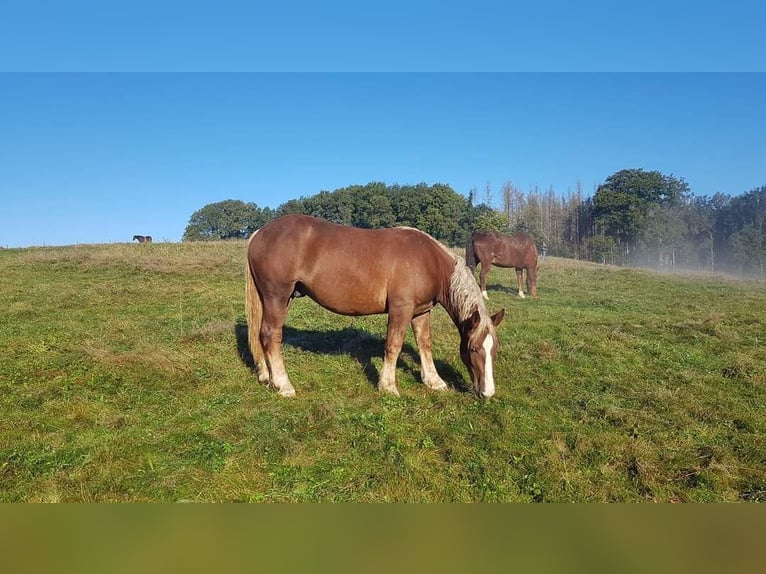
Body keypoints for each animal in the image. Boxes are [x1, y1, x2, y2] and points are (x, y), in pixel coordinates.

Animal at [246, 216, 508, 400]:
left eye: (494, 350)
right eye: (473, 349)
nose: (487, 393)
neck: (429, 261)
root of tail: (260, 233)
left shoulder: (421, 311)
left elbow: (425, 343)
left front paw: (434, 381)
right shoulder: (401, 309)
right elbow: (394, 345)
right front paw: (388, 386)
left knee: (260, 334)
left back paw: (266, 376)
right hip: (277, 296)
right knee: (271, 335)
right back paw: (284, 385)